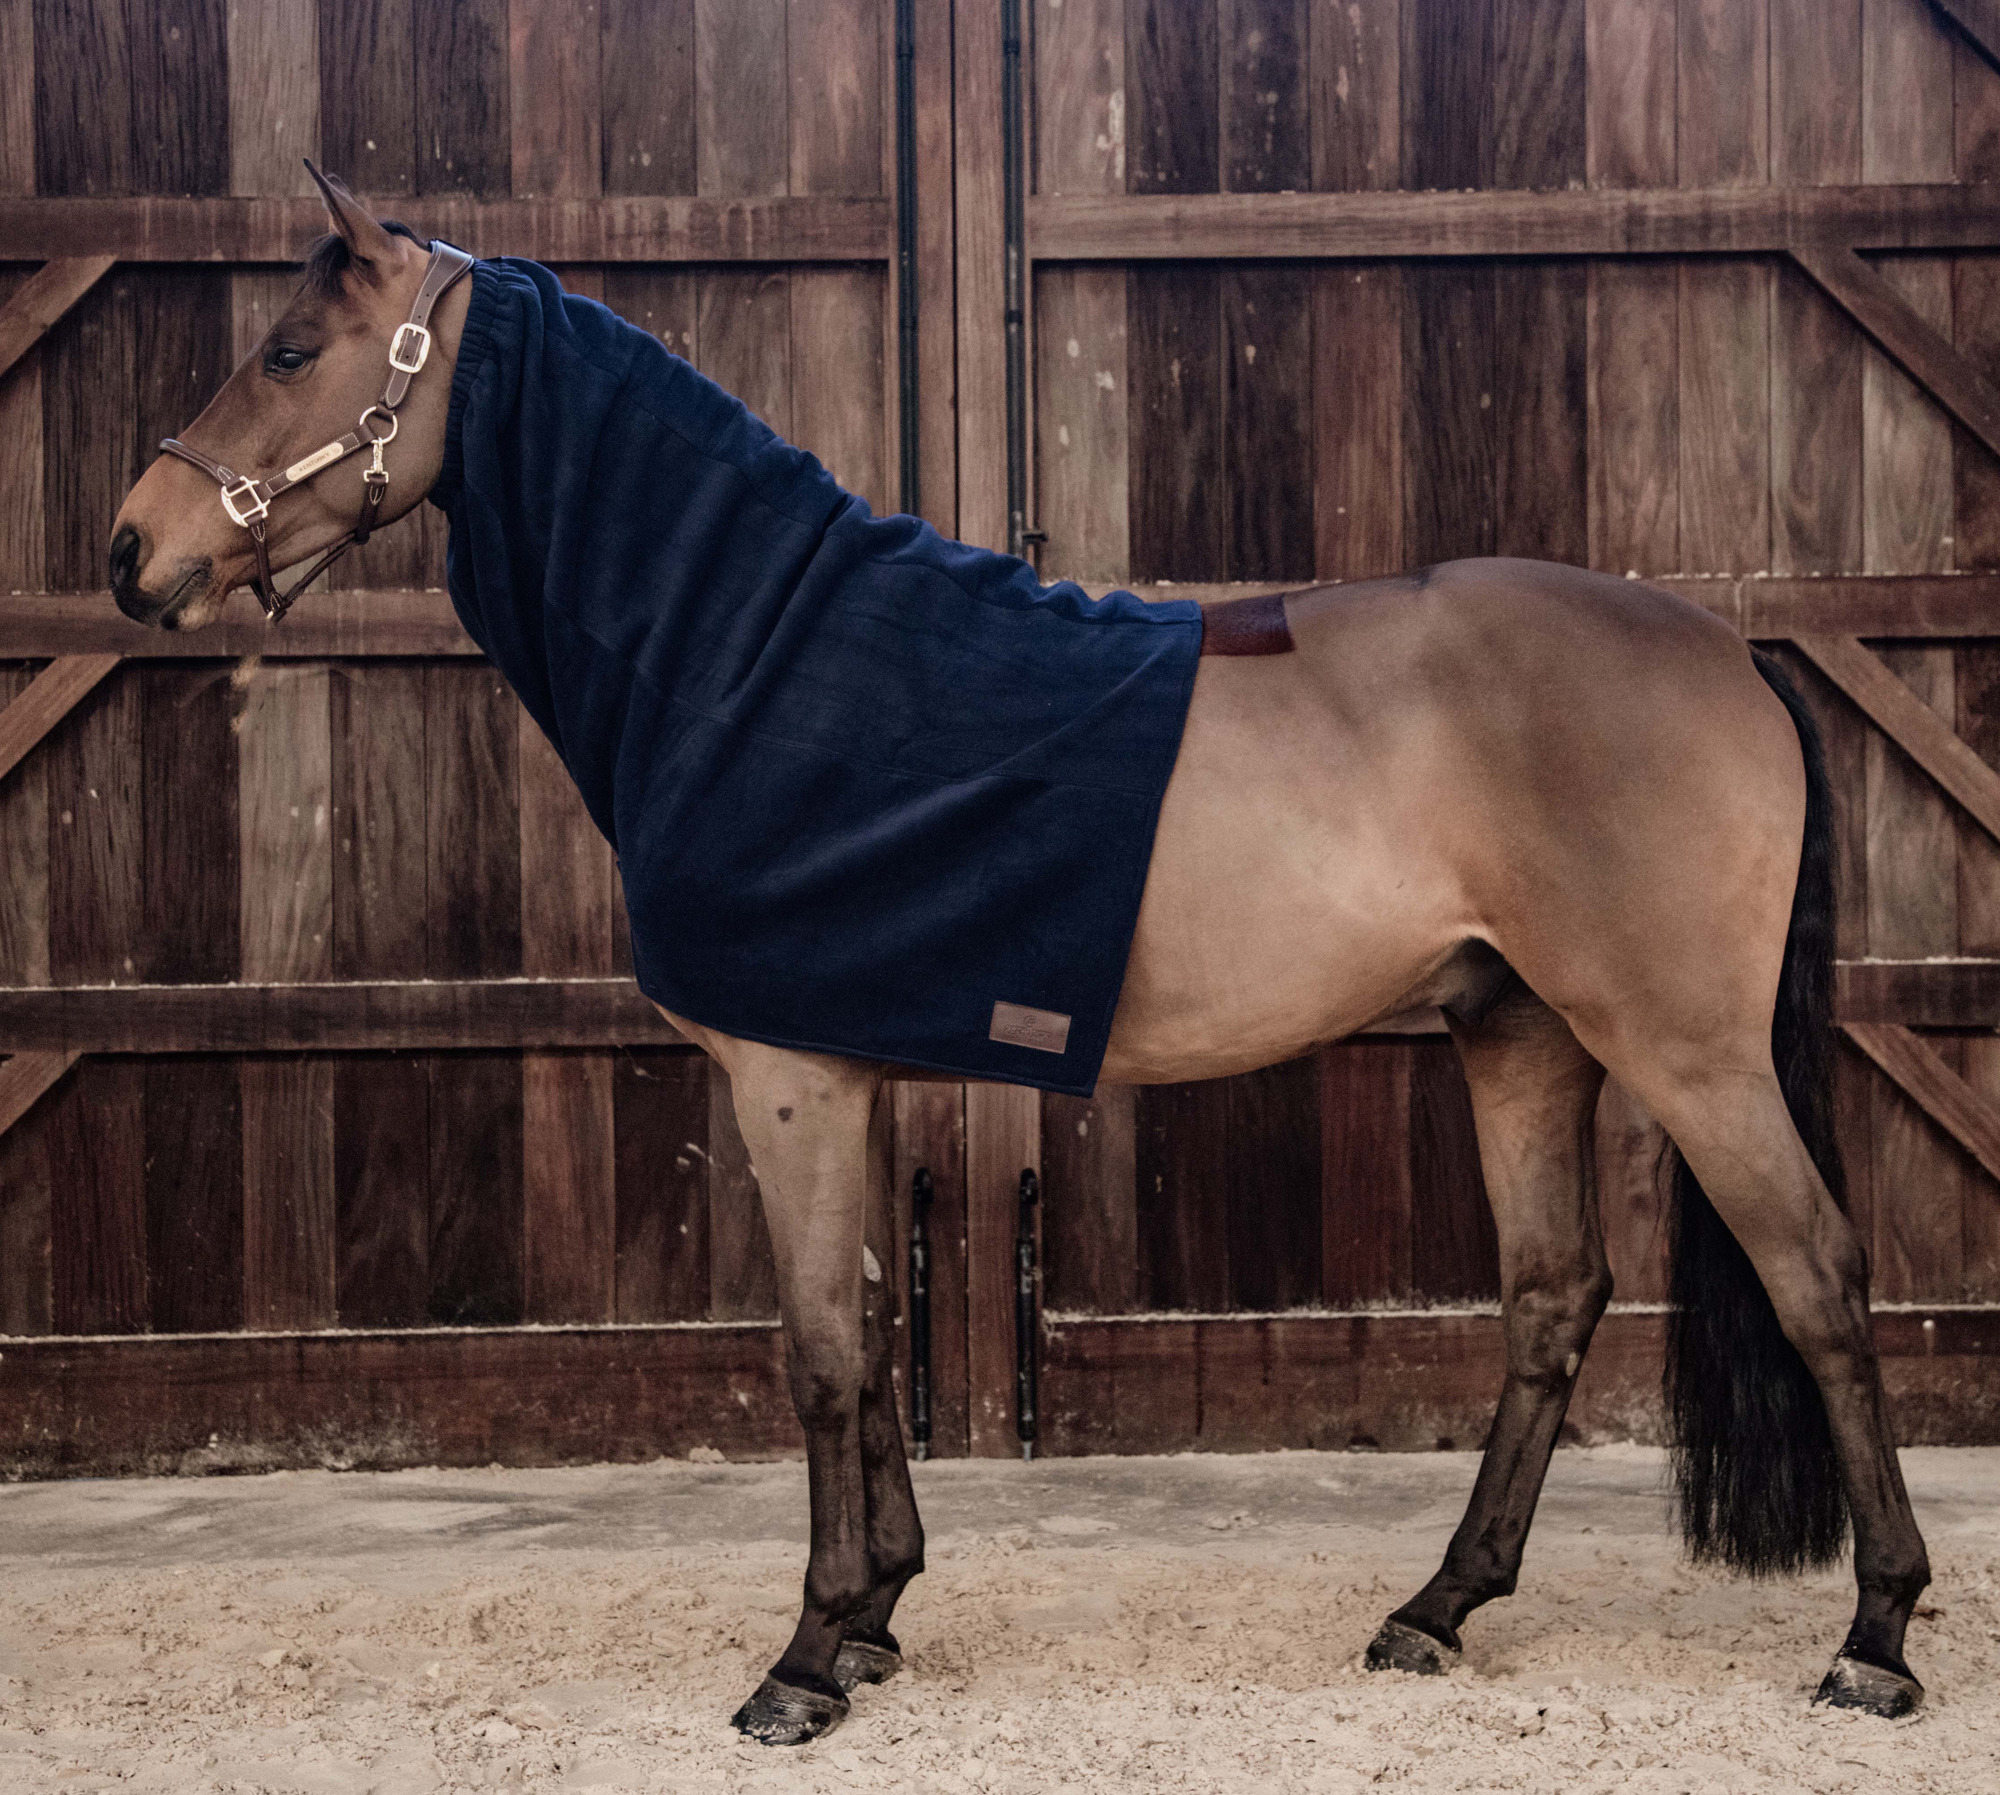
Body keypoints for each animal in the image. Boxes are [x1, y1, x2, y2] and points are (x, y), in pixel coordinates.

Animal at [106, 168, 1932, 1746]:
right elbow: (869, 1333)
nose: (131, 551)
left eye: (287, 351)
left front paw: (803, 1659)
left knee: (1820, 1281)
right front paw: (877, 1616)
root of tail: (1730, 647)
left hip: (1684, 1048)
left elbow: (818, 1357)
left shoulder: (787, 1078)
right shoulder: (845, 1070)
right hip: (1523, 1033)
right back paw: (1438, 1607)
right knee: (1554, 1296)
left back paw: (1875, 1636)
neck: (761, 655)